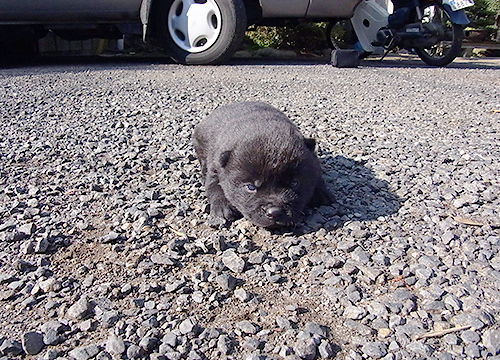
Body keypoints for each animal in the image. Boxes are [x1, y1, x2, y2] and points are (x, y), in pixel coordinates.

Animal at [192, 101, 332, 228]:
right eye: (251, 187)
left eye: (294, 183)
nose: (275, 212)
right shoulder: (215, 166)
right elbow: (214, 186)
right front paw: (222, 208)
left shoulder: (314, 162)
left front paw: (322, 194)